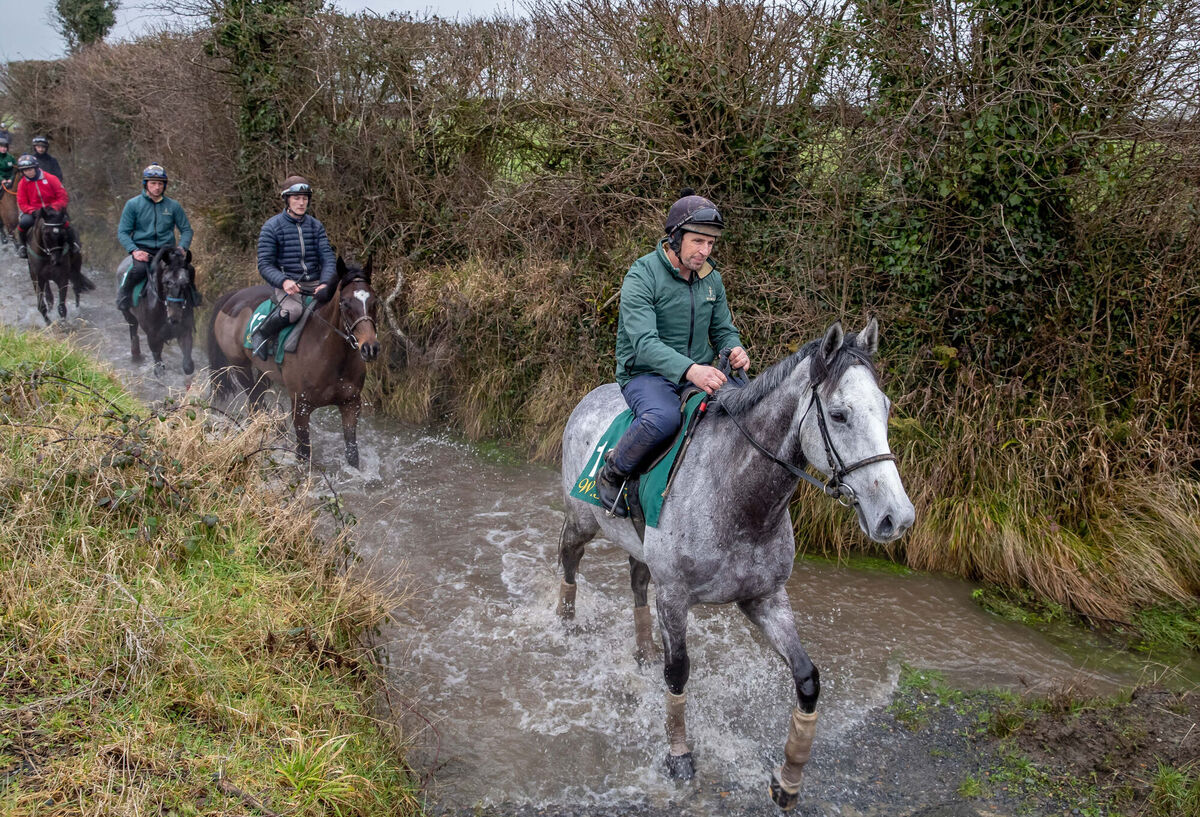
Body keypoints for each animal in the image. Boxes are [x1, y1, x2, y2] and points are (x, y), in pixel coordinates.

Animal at [205, 256, 381, 467]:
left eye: (374, 301)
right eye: (345, 303)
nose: (370, 348)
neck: (329, 355)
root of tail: (233, 297)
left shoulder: (351, 404)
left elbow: (352, 454)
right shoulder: (301, 408)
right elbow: (304, 453)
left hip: (265, 372)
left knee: (258, 396)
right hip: (240, 366)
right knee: (254, 399)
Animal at [556, 319, 915, 810]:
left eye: (886, 408)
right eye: (840, 415)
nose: (896, 518)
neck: (736, 495)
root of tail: (589, 398)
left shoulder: (765, 598)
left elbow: (806, 678)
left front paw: (787, 780)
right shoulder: (675, 598)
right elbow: (678, 674)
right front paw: (679, 757)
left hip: (641, 550)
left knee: (637, 582)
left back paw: (642, 652)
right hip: (581, 521)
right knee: (568, 559)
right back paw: (565, 623)